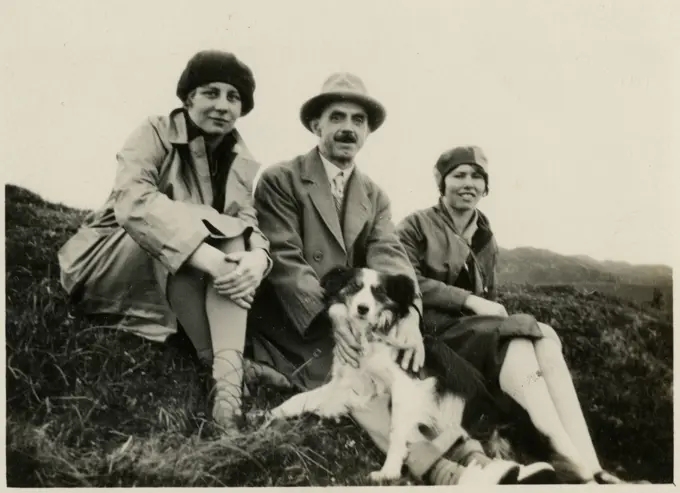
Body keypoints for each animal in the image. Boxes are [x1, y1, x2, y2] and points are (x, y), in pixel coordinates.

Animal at [268, 266, 496, 480]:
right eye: (355, 286)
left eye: (379, 292)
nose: (363, 308)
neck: (367, 336)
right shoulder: (348, 381)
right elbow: (303, 397)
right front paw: (273, 414)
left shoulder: (406, 385)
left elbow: (396, 430)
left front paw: (390, 471)